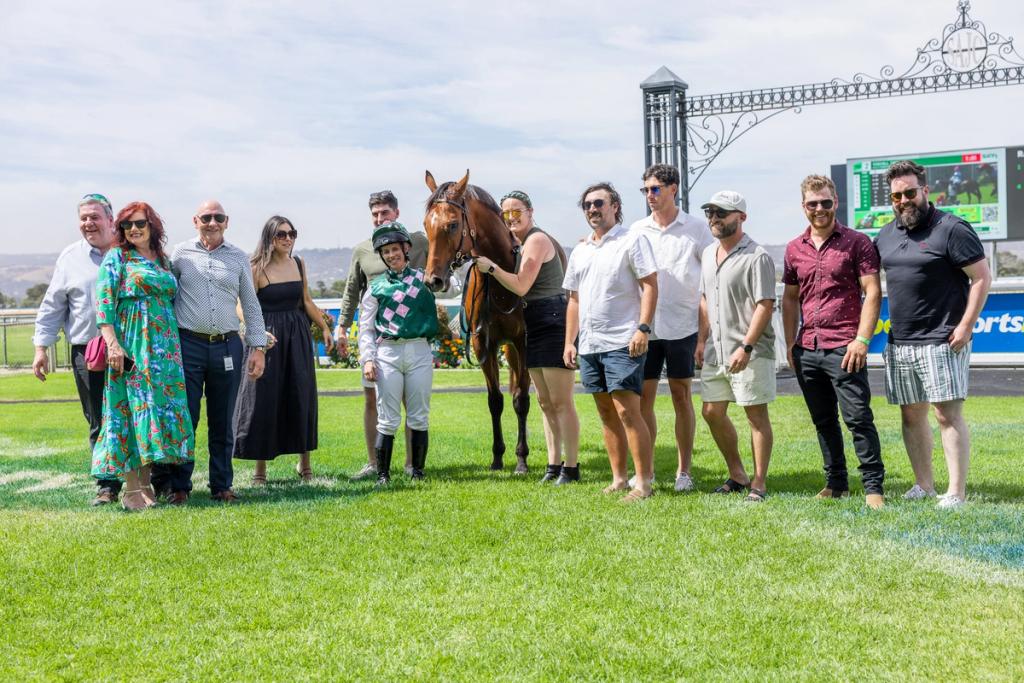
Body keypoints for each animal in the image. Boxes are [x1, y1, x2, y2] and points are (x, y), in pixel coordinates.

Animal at [422, 170, 531, 473]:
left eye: (452, 224)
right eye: (425, 225)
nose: (433, 280)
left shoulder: (524, 343)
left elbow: (521, 399)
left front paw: (521, 458)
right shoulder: (483, 343)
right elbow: (495, 401)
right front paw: (497, 457)